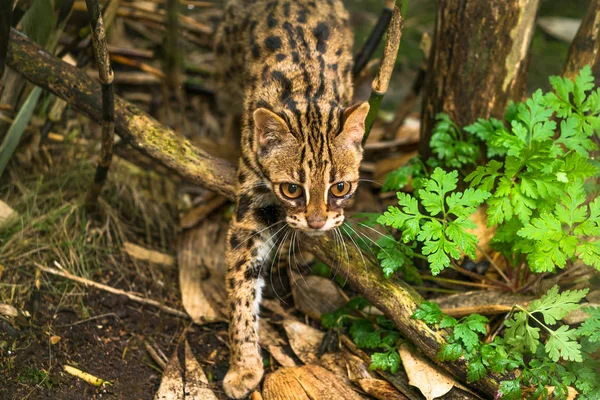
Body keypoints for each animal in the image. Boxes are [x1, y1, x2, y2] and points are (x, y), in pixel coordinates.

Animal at [213, 0, 368, 396]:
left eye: (340, 188)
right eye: (292, 190)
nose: (316, 221)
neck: (307, 96)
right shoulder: (250, 205)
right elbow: (241, 285)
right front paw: (244, 364)